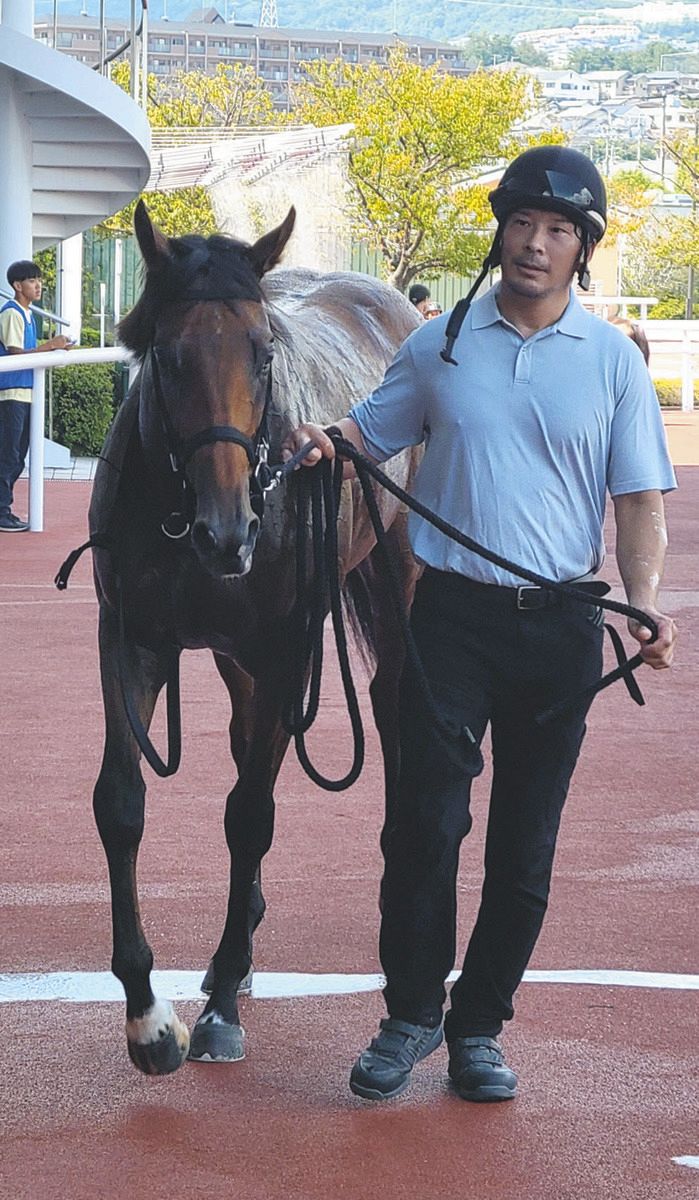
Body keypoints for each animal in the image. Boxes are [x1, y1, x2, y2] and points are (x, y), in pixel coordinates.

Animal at [86, 200, 422, 1075]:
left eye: (264, 351)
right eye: (167, 356)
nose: (227, 531)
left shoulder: (284, 646)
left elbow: (251, 814)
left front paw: (219, 1011)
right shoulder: (129, 639)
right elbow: (122, 804)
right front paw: (148, 1017)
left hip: (394, 580)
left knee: (391, 702)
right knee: (247, 743)